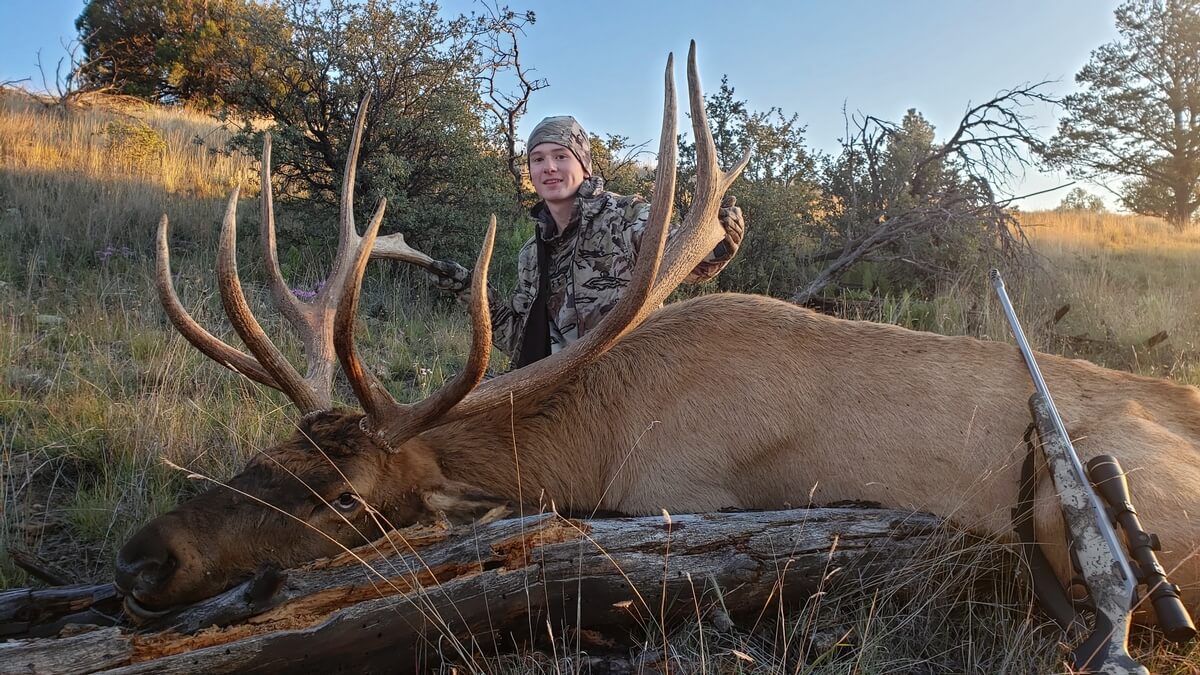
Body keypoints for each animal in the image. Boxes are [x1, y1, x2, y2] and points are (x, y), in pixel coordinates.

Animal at [116, 43, 1200, 627]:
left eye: (346, 498)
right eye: (269, 451)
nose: (142, 558)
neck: (597, 432)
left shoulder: (681, 492)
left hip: (1087, 503)